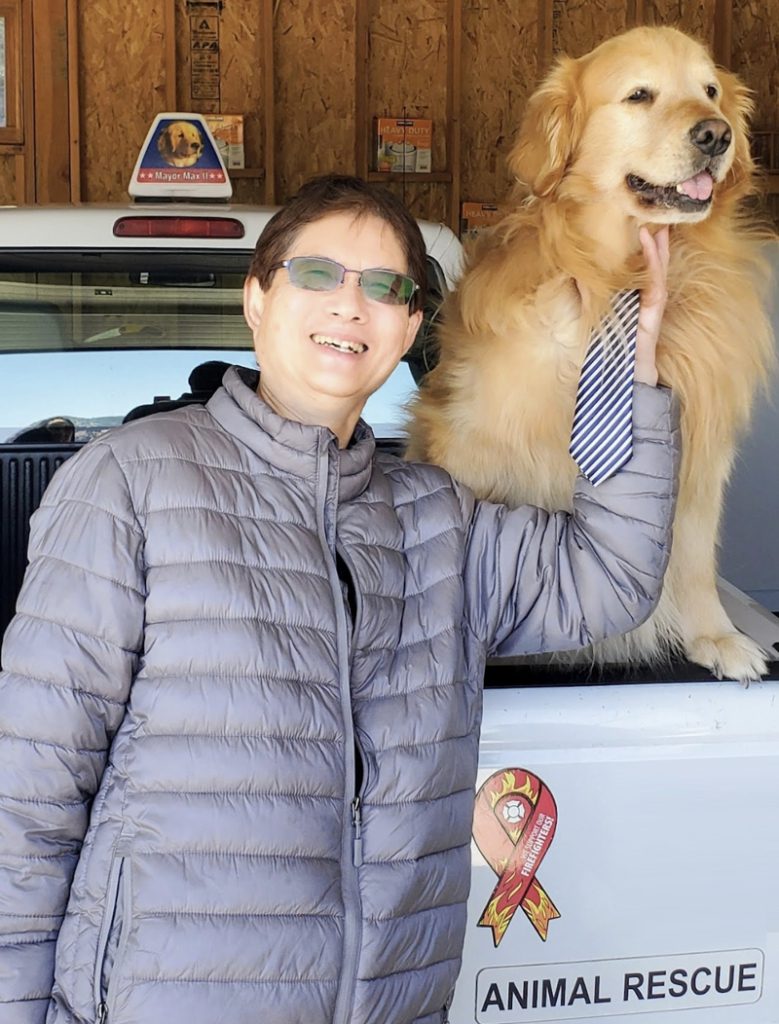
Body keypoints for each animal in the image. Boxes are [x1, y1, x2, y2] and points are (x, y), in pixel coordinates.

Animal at [407, 25, 773, 679]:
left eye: (709, 90)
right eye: (639, 95)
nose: (716, 134)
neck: (619, 277)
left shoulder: (702, 451)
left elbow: (696, 553)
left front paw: (716, 637)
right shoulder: (478, 440)